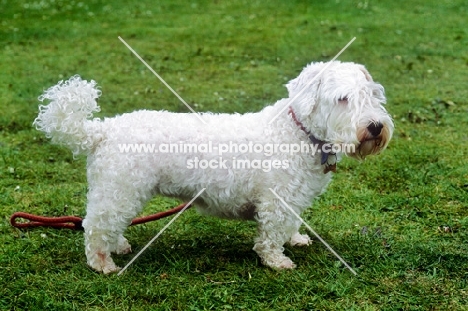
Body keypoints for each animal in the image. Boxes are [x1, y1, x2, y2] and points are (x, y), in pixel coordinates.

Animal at [33, 60, 394, 272]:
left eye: (373, 95)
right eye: (343, 98)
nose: (375, 126)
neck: (297, 132)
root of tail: (102, 130)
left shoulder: (292, 199)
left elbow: (289, 225)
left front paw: (295, 240)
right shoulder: (275, 202)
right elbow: (270, 236)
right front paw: (276, 261)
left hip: (120, 191)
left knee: (107, 224)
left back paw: (118, 246)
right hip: (119, 190)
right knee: (95, 227)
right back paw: (102, 263)